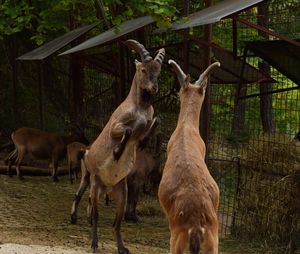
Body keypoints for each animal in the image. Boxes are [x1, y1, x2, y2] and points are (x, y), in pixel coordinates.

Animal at [69, 38, 165, 253]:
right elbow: (127, 131)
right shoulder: (116, 126)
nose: (154, 87)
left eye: (159, 70)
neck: (139, 108)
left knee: (117, 222)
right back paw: (93, 242)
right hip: (93, 182)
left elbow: (154, 123)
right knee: (91, 209)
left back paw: (122, 247)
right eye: (143, 69)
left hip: (121, 191)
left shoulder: (145, 128)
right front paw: (116, 152)